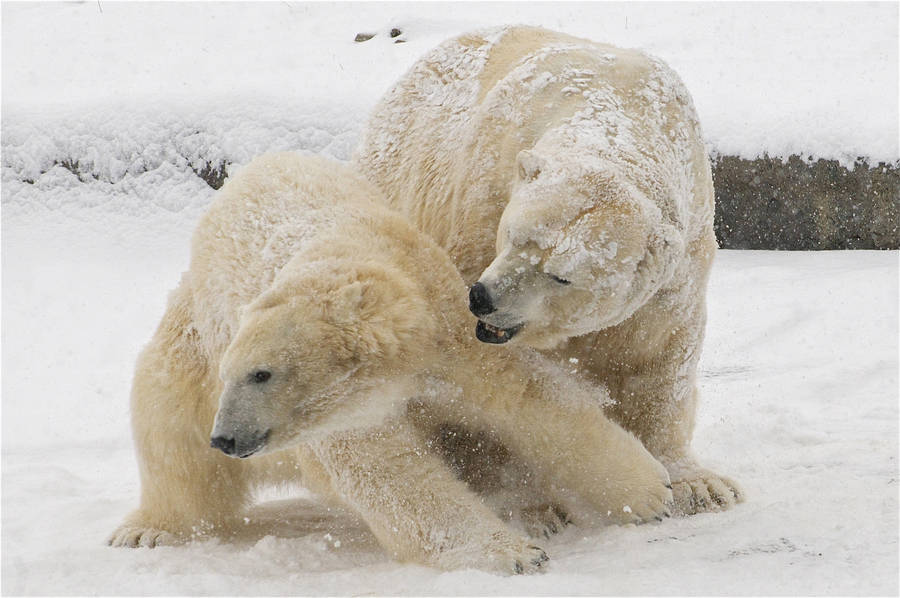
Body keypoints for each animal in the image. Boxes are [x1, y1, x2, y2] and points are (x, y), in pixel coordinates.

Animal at [107, 152, 673, 574]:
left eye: (261, 374)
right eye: (238, 374)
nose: (225, 438)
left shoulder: (446, 327)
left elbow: (527, 399)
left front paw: (651, 492)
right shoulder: (345, 412)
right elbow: (389, 474)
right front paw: (514, 554)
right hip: (189, 346)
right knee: (169, 430)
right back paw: (147, 528)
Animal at [353, 26, 742, 514]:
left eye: (562, 275)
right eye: (514, 234)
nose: (483, 298)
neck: (613, 116)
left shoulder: (682, 254)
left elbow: (660, 355)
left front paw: (700, 485)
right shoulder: (482, 200)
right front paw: (529, 505)